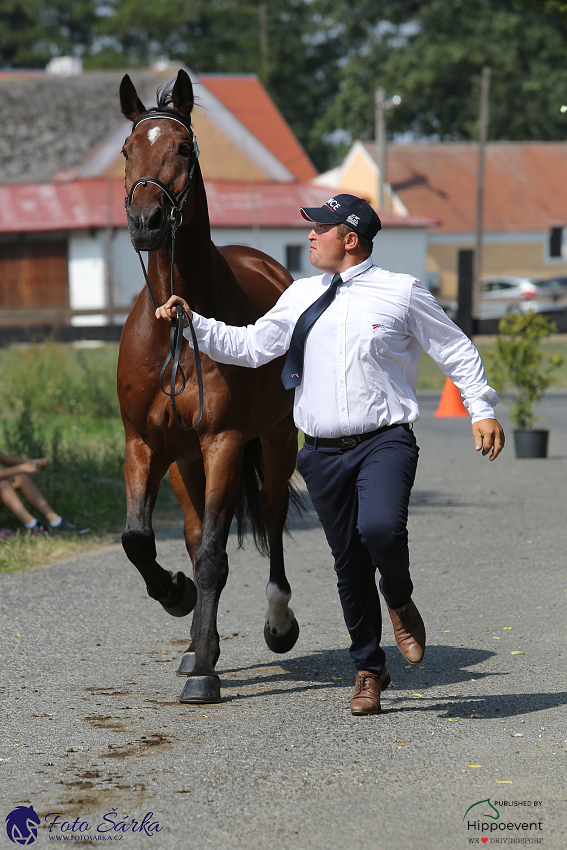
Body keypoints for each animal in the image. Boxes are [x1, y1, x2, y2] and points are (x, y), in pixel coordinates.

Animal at [118, 68, 302, 704]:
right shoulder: (145, 445)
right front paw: (175, 596)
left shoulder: (224, 442)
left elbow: (214, 560)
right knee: (198, 530)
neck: (175, 325)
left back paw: (277, 624)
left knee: (271, 519)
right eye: (128, 149)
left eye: (182, 148)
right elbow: (139, 540)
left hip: (274, 442)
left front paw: (204, 670)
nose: (146, 222)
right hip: (184, 463)